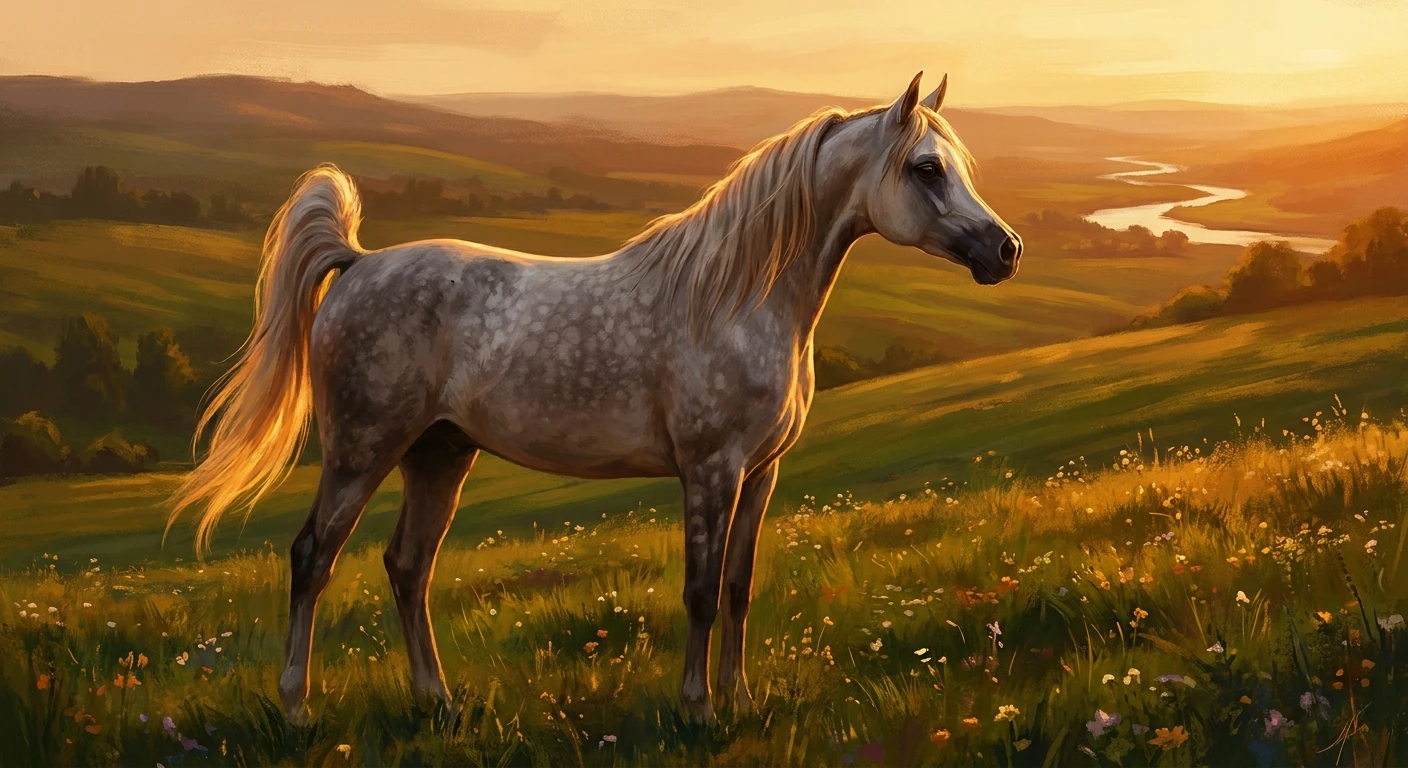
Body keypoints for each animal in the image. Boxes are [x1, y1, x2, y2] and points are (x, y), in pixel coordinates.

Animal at [169, 71, 1022, 724]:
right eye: (925, 168)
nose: (1006, 250)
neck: (736, 296)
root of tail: (357, 262)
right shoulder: (711, 470)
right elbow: (701, 592)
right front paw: (697, 709)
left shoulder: (760, 474)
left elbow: (740, 590)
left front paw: (742, 701)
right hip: (361, 450)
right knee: (313, 558)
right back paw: (296, 707)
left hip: (438, 454)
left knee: (408, 567)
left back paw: (437, 700)